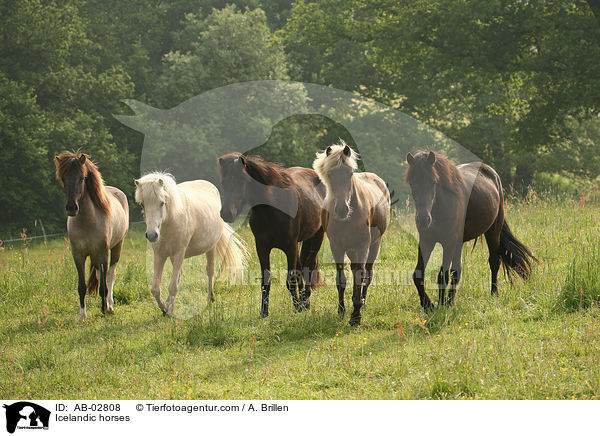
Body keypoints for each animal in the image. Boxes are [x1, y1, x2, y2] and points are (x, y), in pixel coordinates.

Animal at [54, 152, 129, 322]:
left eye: (82, 178)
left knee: (110, 276)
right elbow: (82, 286)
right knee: (100, 277)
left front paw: (105, 309)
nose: (71, 208)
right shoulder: (78, 255)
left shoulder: (103, 254)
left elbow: (105, 284)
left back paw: (109, 306)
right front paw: (82, 316)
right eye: (63, 179)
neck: (87, 222)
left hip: (117, 247)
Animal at [135, 171, 247, 316]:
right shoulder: (160, 255)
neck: (171, 220)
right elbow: (155, 289)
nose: (152, 235)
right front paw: (165, 308)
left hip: (210, 248)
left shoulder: (179, 253)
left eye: (161, 203)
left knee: (210, 271)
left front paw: (169, 311)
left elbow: (173, 287)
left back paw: (210, 298)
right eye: (142, 204)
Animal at [218, 153, 326, 316]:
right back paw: (304, 302)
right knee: (302, 268)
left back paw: (305, 301)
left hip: (317, 237)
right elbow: (265, 282)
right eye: (224, 182)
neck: (272, 209)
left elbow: (291, 280)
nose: (226, 213)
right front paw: (264, 313)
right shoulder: (262, 248)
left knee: (308, 266)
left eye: (241, 181)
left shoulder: (290, 247)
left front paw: (297, 308)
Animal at [312, 141, 392, 326]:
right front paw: (341, 311)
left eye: (349, 174)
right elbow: (341, 279)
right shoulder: (337, 246)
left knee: (367, 274)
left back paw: (362, 302)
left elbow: (360, 277)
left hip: (374, 246)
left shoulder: (362, 246)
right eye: (330, 174)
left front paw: (356, 315)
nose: (342, 210)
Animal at [406, 152, 536, 312]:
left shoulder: (448, 243)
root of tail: (493, 175)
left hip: (493, 232)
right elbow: (418, 275)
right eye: (412, 183)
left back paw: (493, 293)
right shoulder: (426, 242)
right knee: (457, 271)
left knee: (494, 262)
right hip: (459, 243)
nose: (423, 220)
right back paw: (450, 301)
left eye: (433, 182)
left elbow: (443, 275)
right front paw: (428, 305)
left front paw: (439, 306)